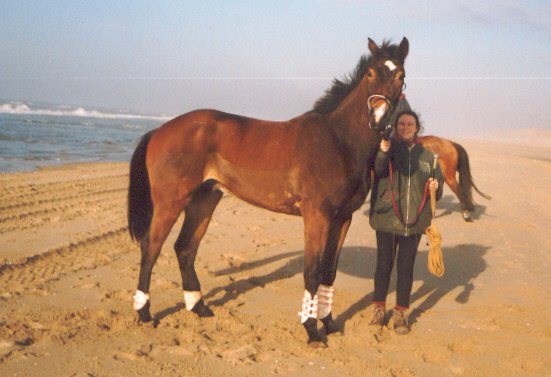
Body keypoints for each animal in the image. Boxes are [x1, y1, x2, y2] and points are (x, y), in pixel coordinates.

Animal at [126, 37, 410, 344]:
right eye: (369, 73)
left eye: (400, 76)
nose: (378, 118)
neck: (338, 139)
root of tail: (159, 131)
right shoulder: (317, 215)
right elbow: (312, 272)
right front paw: (312, 330)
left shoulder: (343, 217)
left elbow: (329, 273)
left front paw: (330, 323)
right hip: (170, 202)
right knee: (151, 247)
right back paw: (144, 312)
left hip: (204, 200)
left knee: (185, 248)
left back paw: (198, 307)